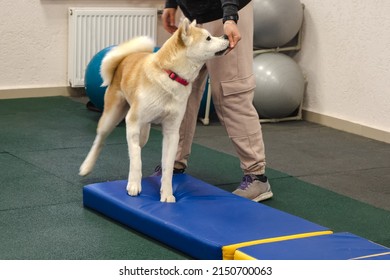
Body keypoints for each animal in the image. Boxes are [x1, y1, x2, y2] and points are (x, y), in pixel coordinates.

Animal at [80, 18, 230, 202]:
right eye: (208, 38)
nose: (226, 36)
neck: (170, 75)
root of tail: (124, 58)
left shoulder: (172, 132)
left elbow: (167, 167)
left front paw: (167, 194)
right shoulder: (133, 122)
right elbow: (136, 160)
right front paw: (134, 185)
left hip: (144, 132)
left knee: (137, 144)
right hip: (112, 116)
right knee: (101, 140)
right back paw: (87, 166)